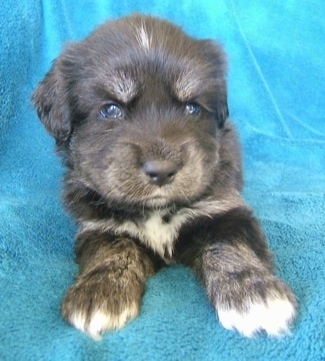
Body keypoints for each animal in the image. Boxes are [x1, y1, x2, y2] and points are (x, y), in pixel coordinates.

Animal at [33, 13, 296, 338]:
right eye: (110, 109)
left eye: (192, 107)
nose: (162, 171)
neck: (156, 210)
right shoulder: (97, 225)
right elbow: (112, 250)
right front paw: (99, 292)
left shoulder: (224, 208)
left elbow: (229, 245)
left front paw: (254, 294)